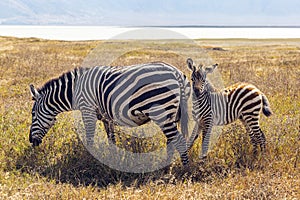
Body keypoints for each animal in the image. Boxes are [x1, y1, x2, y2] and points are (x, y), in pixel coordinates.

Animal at [29, 62, 191, 166]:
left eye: (33, 114)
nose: (31, 141)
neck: (75, 92)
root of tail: (176, 72)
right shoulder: (106, 117)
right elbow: (111, 139)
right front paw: (114, 158)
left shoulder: (87, 110)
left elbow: (89, 137)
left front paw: (91, 159)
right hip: (171, 115)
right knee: (171, 142)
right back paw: (166, 166)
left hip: (161, 111)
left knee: (179, 141)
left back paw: (184, 169)